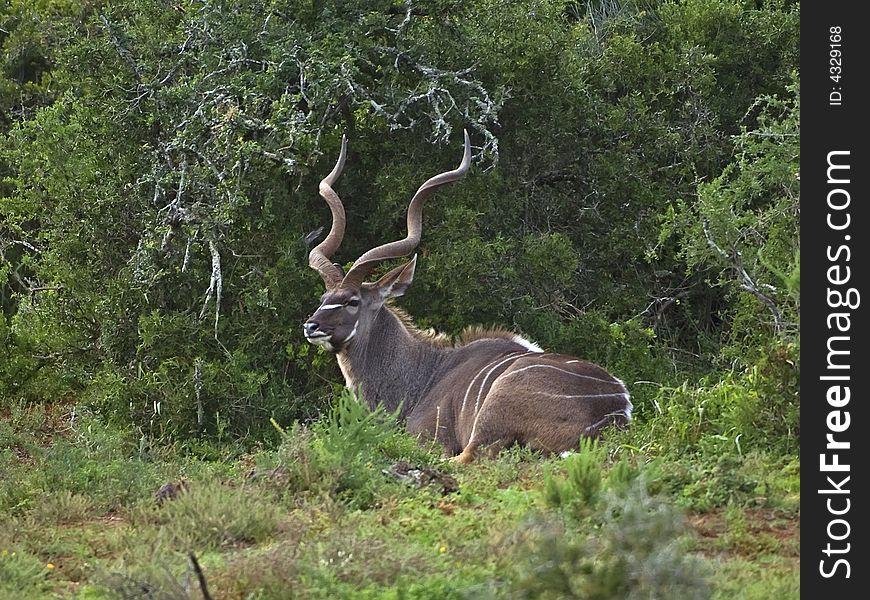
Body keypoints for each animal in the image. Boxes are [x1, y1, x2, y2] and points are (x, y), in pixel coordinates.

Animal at [304, 130, 632, 464]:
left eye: (353, 301)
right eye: (324, 296)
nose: (310, 326)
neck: (423, 374)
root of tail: (615, 412)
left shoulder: (429, 437)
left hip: (495, 407)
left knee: (469, 457)